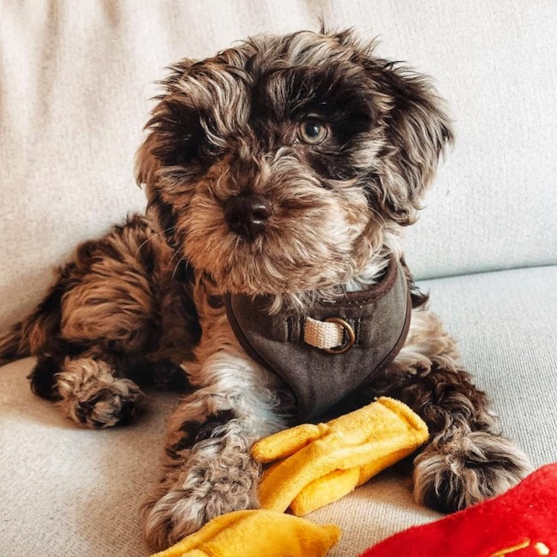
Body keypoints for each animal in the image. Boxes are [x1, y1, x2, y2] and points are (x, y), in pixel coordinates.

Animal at [0, 31, 528, 552]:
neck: (317, 309)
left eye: (314, 130)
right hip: (126, 286)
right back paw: (100, 391)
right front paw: (202, 500)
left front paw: (473, 460)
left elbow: (456, 397)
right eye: (204, 148)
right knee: (63, 357)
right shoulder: (232, 367)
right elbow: (218, 423)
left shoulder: (419, 346)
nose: (244, 210)